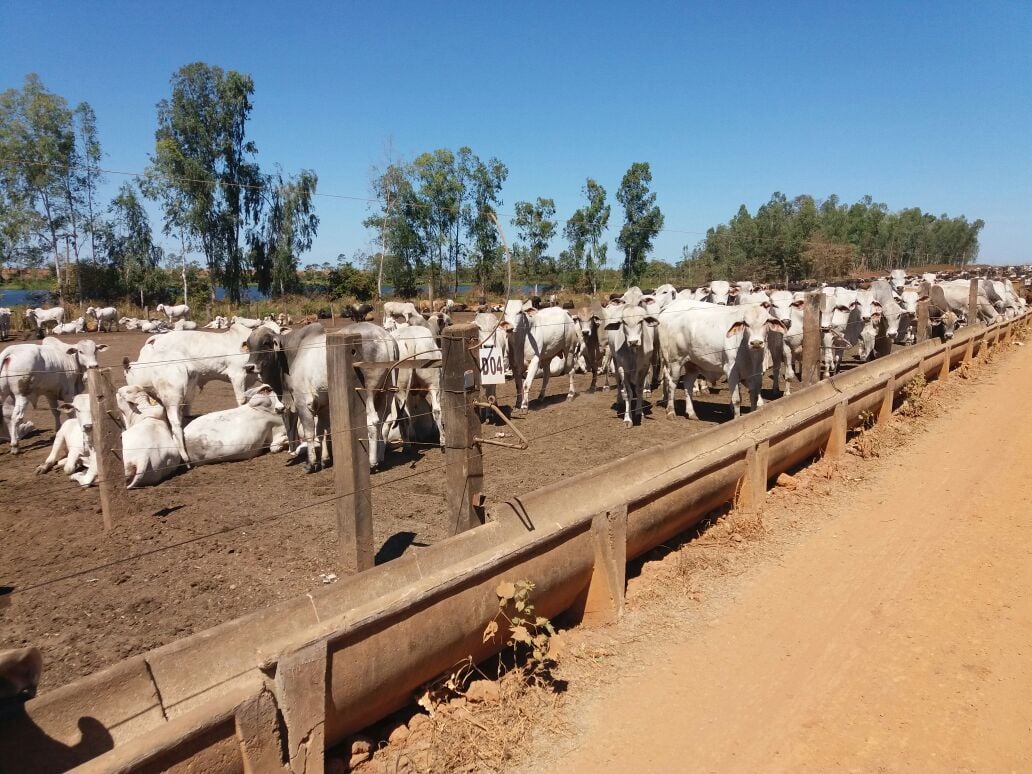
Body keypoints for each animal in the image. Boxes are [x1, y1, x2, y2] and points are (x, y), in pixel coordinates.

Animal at [656, 299, 784, 421]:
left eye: (765, 322)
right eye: (746, 323)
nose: (756, 343)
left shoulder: (756, 373)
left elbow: (754, 396)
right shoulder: (731, 371)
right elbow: (737, 399)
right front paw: (736, 418)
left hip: (692, 364)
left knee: (688, 384)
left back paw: (691, 413)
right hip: (674, 361)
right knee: (672, 384)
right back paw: (671, 412)